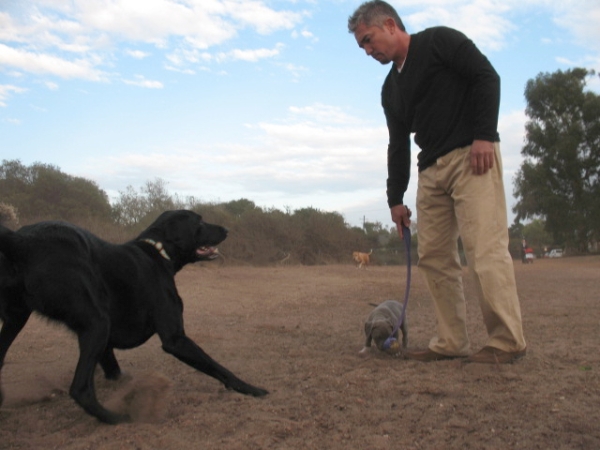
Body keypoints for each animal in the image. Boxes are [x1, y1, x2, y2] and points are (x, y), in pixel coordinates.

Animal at [0, 209, 268, 424]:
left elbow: (113, 367)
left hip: (17, 319)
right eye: (199, 221)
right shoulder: (175, 339)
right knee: (80, 389)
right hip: (97, 324)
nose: (227, 229)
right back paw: (115, 418)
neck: (159, 253)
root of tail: (22, 241)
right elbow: (218, 367)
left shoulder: (104, 340)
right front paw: (251, 389)